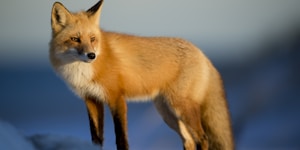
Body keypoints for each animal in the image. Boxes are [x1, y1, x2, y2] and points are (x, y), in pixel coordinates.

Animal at [49, 0, 233, 149]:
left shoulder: (116, 98)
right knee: (189, 141)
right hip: (167, 113)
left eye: (92, 38)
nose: (91, 55)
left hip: (181, 107)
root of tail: (202, 53)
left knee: (202, 138)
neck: (83, 71)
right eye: (75, 39)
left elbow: (121, 138)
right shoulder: (91, 100)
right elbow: (96, 138)